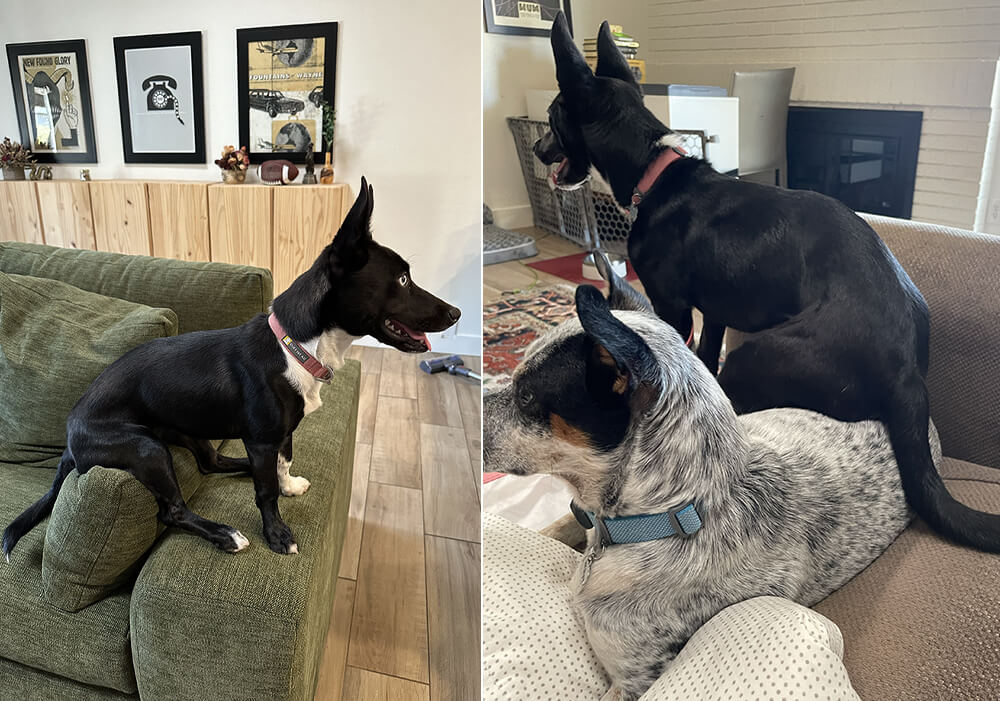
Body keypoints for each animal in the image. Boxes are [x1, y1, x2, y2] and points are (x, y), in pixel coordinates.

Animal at [2, 179, 460, 556]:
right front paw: (277, 535)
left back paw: (239, 473)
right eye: (402, 280)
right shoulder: (261, 439)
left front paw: (289, 485)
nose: (456, 313)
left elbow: (282, 465)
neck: (295, 347)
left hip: (186, 432)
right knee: (172, 511)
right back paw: (225, 534)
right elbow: (265, 492)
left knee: (212, 463)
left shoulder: (278, 437)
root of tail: (70, 436)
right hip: (146, 448)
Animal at [536, 12, 1000, 552]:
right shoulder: (712, 312)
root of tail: (907, 373)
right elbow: (703, 353)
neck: (656, 171)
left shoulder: (672, 305)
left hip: (757, 355)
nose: (535, 146)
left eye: (552, 116)